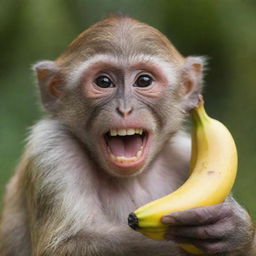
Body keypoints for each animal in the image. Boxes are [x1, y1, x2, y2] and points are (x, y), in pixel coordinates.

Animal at [0, 15, 255, 255]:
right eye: (103, 82)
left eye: (144, 80)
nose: (124, 109)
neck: (132, 179)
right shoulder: (51, 149)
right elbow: (64, 246)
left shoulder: (184, 151)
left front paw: (234, 231)